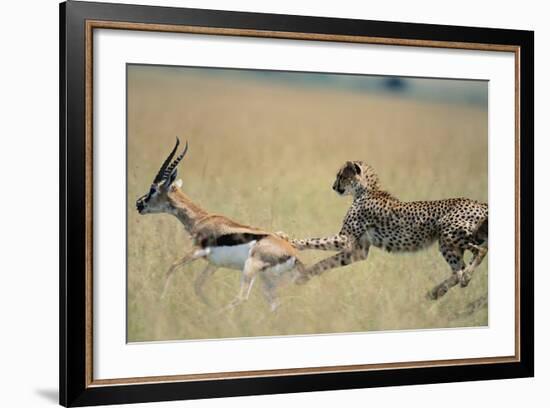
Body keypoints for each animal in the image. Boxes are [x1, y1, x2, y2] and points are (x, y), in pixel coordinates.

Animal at [286, 160, 490, 300]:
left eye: (341, 176)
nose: (334, 187)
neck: (365, 190)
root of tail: (479, 203)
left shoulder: (345, 239)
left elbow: (315, 241)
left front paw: (290, 241)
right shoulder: (357, 250)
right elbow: (326, 262)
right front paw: (304, 276)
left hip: (449, 235)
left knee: (479, 252)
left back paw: (463, 278)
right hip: (451, 244)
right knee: (458, 271)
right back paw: (436, 291)